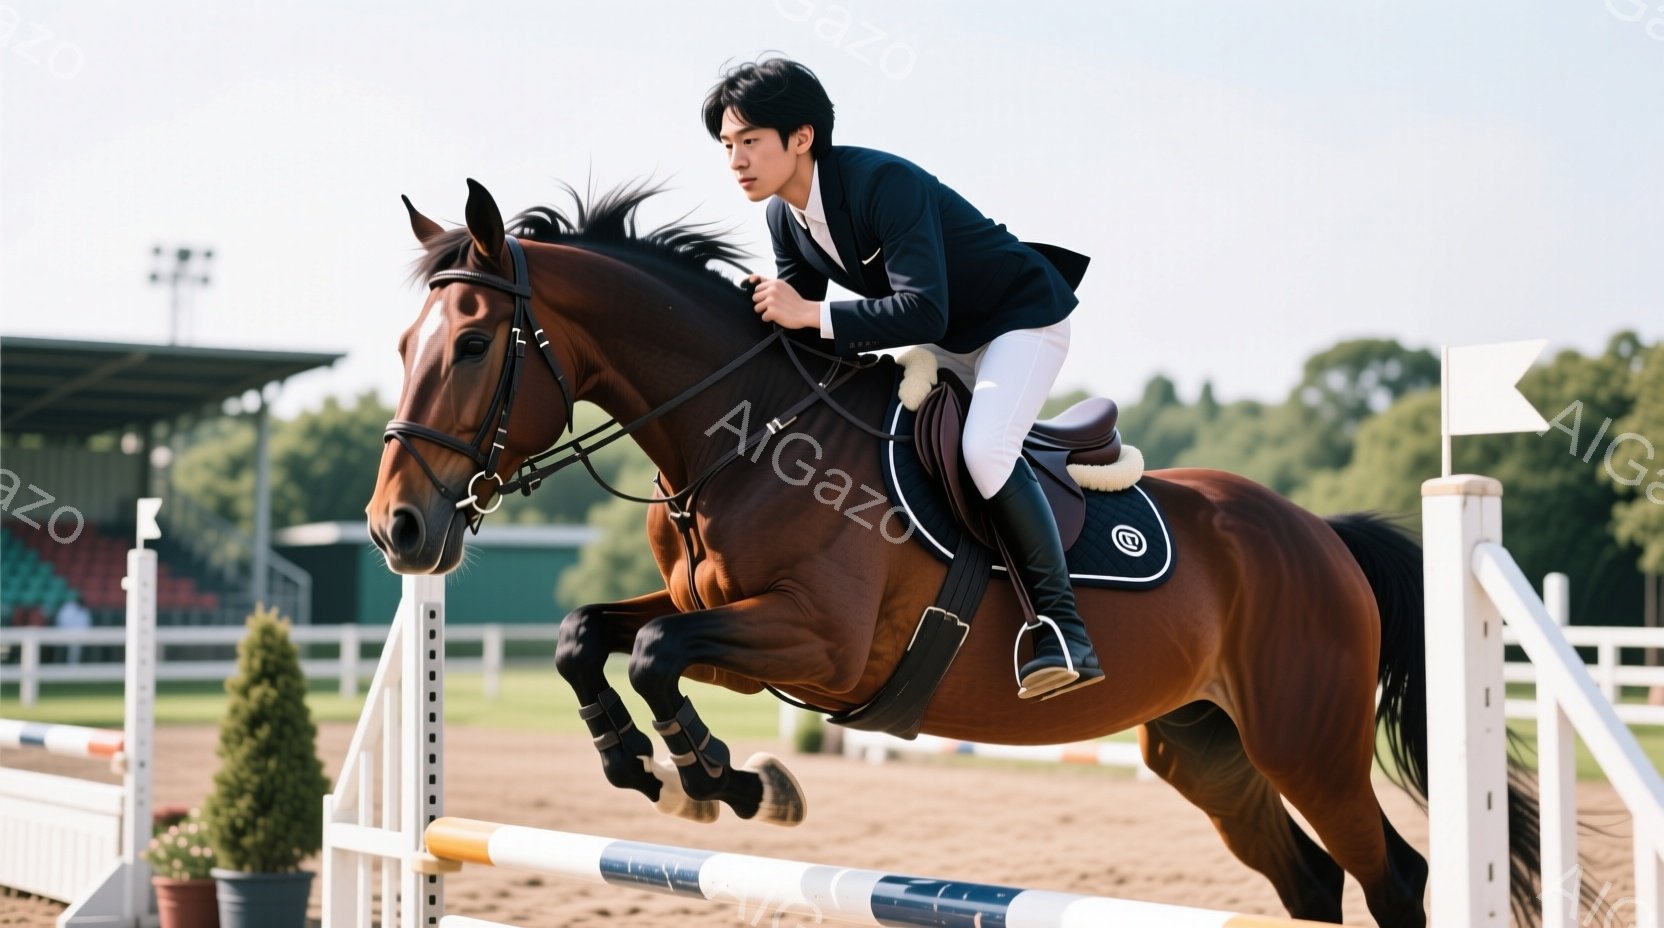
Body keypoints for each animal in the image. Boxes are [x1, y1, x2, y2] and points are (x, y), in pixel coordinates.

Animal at [368, 178, 1546, 927]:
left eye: (473, 343)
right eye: (405, 343)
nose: (398, 529)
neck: (737, 438)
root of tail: (1319, 534)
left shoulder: (822, 646)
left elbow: (657, 651)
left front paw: (728, 781)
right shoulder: (718, 613)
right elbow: (591, 634)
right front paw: (644, 765)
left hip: (1308, 743)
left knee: (1394, 879)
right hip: (1207, 747)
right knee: (1308, 883)